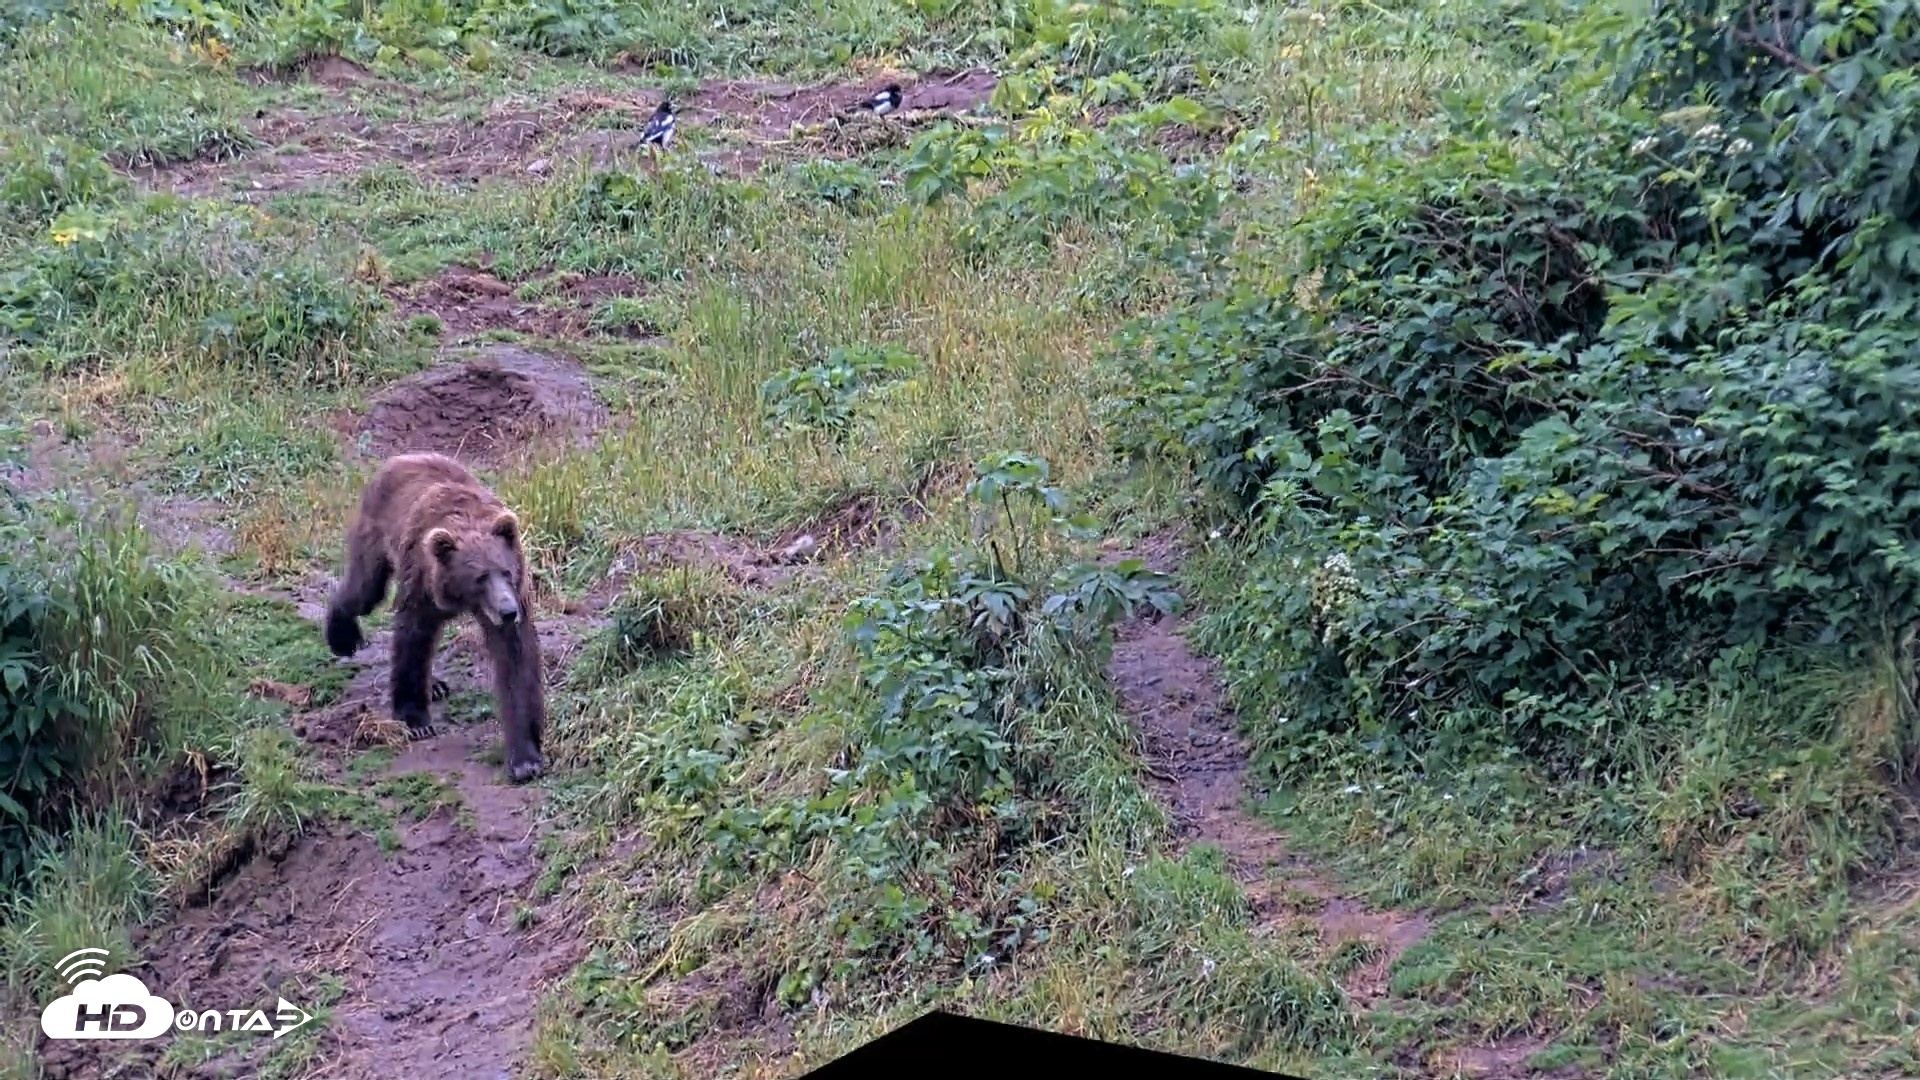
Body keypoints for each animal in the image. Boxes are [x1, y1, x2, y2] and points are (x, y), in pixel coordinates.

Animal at [324, 451, 547, 783]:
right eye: (480, 577)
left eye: (505, 571)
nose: (508, 612)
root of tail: (401, 457)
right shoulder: (421, 584)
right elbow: (413, 640)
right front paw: (416, 720)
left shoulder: (515, 593)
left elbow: (516, 661)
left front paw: (525, 760)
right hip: (376, 534)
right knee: (363, 591)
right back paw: (342, 636)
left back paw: (436, 685)